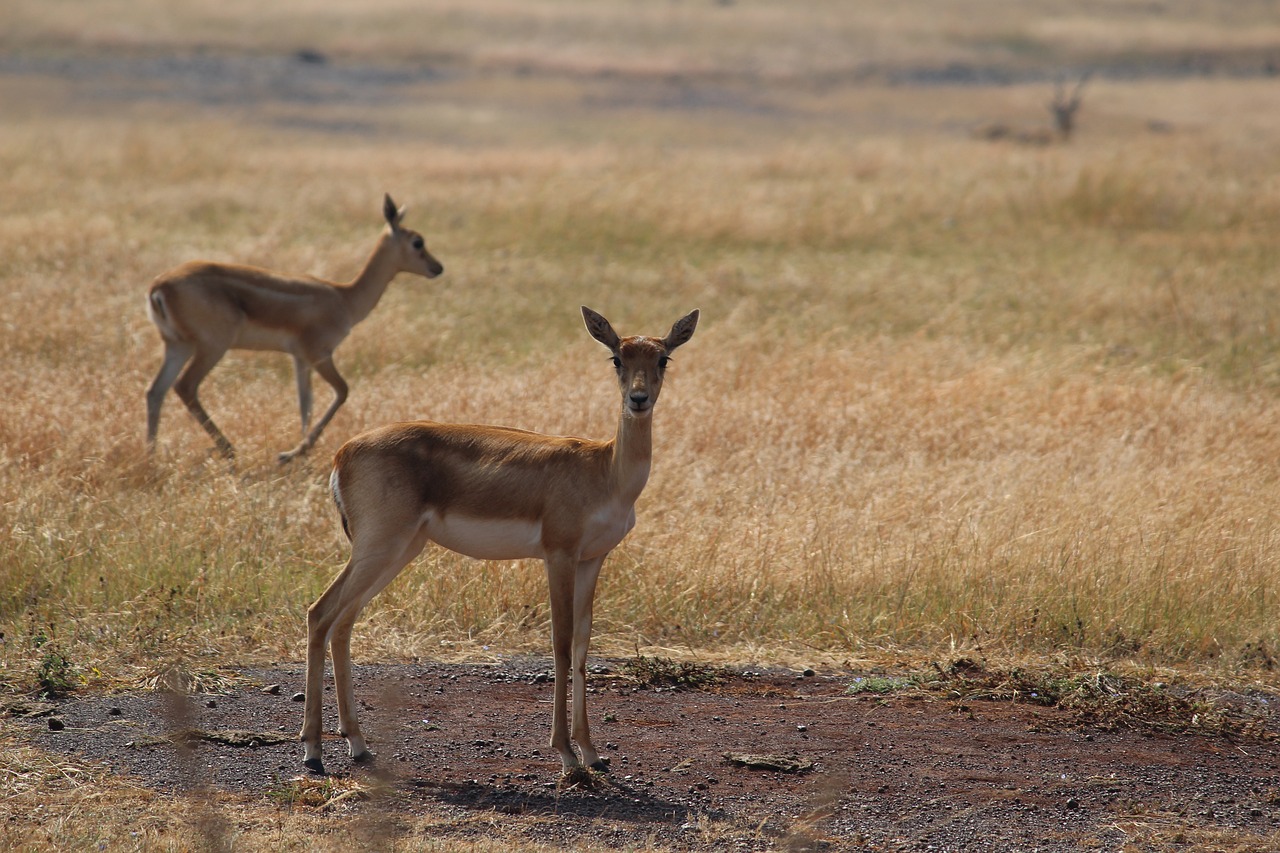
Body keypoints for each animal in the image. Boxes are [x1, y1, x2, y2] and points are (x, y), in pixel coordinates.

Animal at [144, 193, 442, 461]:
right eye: (418, 242)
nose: (438, 267)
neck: (344, 297)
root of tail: (159, 286)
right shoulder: (319, 353)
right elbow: (342, 390)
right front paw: (295, 452)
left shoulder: (300, 358)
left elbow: (305, 403)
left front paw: (297, 453)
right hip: (211, 347)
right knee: (185, 387)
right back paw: (228, 450)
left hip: (178, 346)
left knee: (155, 391)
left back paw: (152, 455)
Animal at [299, 306, 701, 778]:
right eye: (617, 357)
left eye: (663, 359)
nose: (638, 400)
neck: (605, 470)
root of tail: (342, 453)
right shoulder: (558, 555)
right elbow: (560, 644)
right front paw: (566, 754)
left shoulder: (592, 559)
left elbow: (583, 646)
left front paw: (592, 753)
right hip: (379, 546)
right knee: (320, 613)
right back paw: (313, 751)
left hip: (400, 550)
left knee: (343, 621)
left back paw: (358, 744)